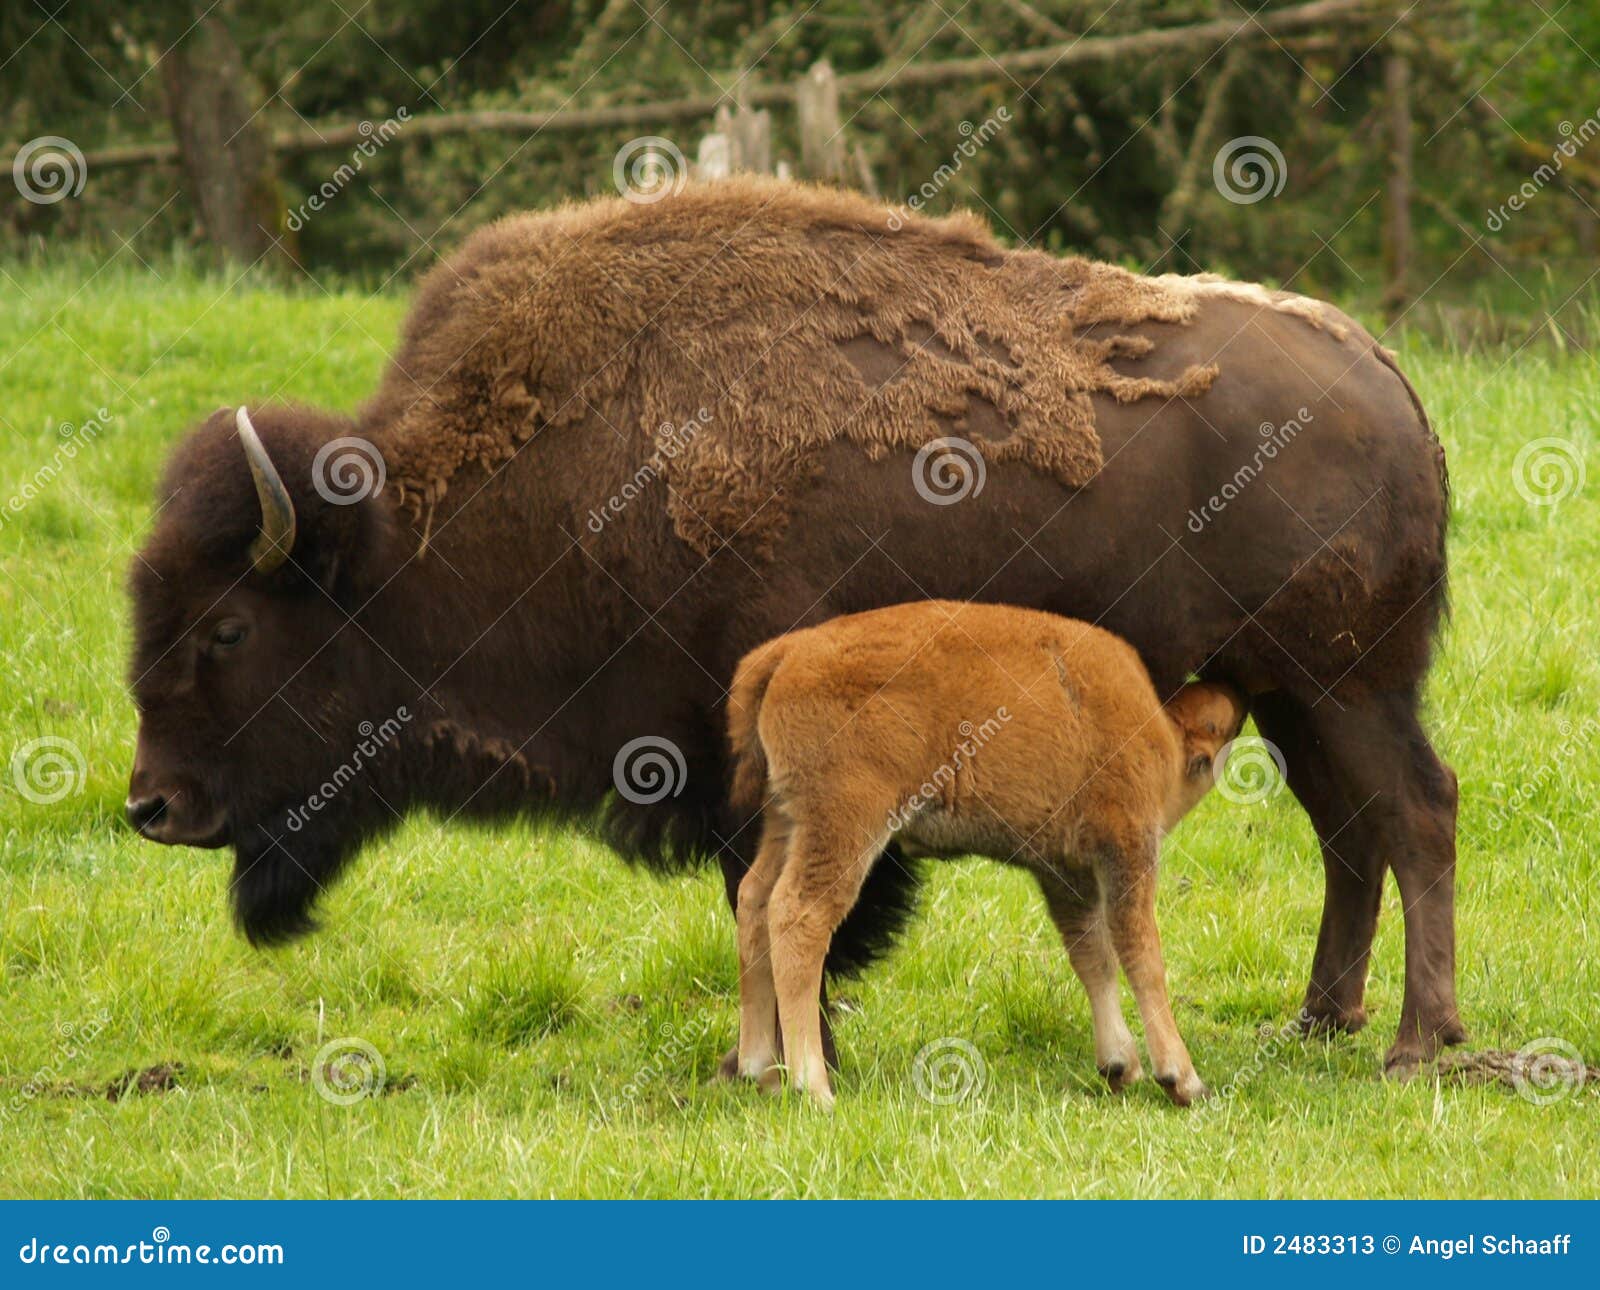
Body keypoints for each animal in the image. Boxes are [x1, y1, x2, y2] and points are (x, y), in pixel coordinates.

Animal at [125, 177, 1462, 1075]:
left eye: (229, 631)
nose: (152, 807)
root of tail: (1388, 379)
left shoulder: (743, 761)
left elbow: (774, 903)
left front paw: (778, 1056)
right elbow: (769, 904)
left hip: (1346, 685)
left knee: (1411, 814)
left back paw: (1415, 1042)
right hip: (1290, 695)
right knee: (1349, 832)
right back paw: (1319, 1021)